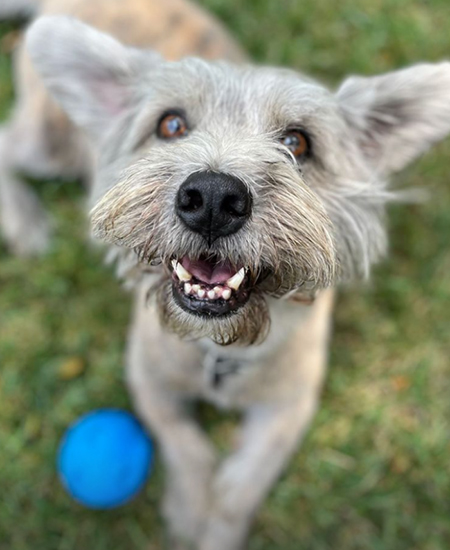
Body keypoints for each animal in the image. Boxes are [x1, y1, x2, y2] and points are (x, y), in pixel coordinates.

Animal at [0, 1, 450, 550]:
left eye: (298, 142)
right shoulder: (148, 382)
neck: (219, 349)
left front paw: (216, 528)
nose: (213, 198)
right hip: (52, 142)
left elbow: (243, 483)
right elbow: (188, 447)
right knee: (5, 144)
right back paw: (25, 221)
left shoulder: (289, 409)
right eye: (171, 125)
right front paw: (190, 511)